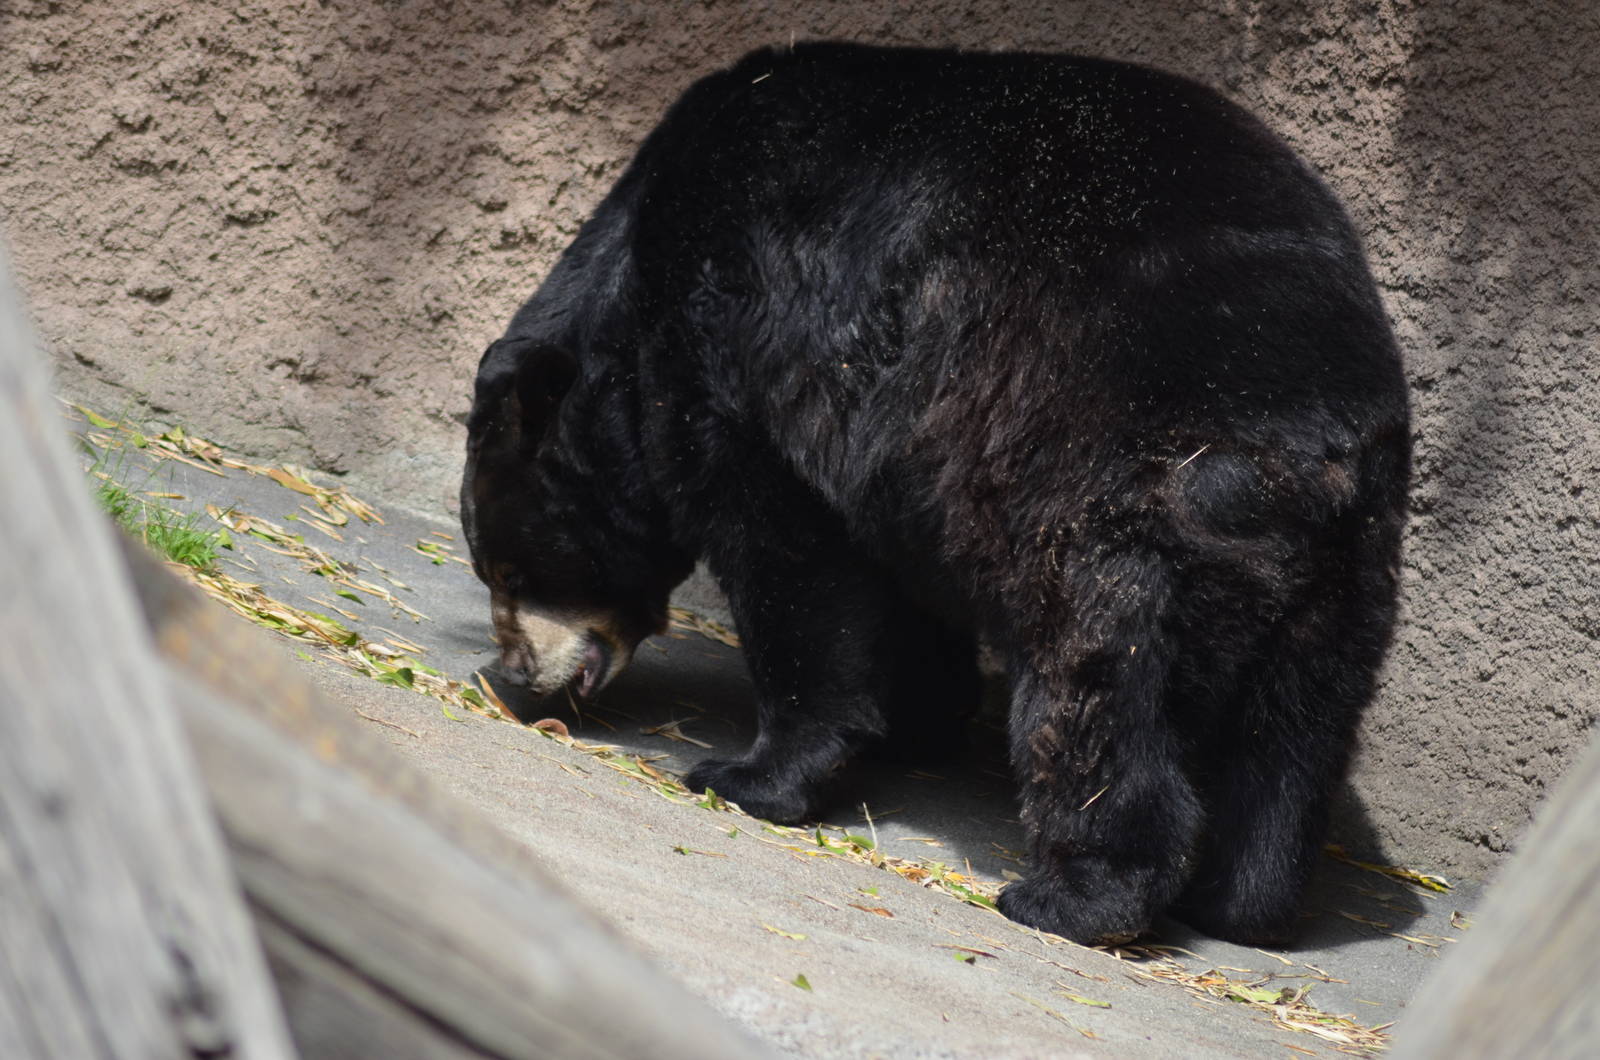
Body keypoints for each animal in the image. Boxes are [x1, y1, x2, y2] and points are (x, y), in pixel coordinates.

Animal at [460, 42, 1410, 947]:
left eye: (507, 572)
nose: (512, 673)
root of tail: (1314, 441)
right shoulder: (908, 457)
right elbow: (900, 587)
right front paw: (920, 720)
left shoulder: (737, 341)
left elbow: (789, 559)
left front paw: (750, 774)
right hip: (1348, 567)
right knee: (1296, 729)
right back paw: (1245, 903)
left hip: (1126, 480)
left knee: (1094, 678)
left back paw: (1070, 897)